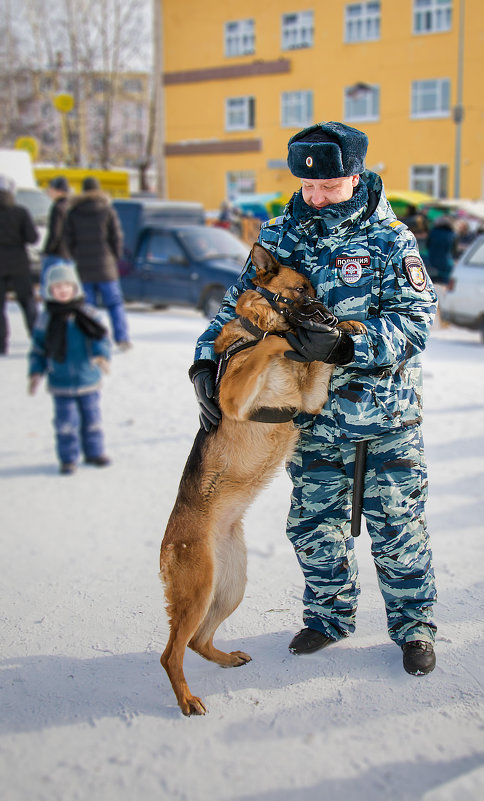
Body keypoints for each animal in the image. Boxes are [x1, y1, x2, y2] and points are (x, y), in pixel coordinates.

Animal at [159, 242, 366, 712]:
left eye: (317, 290)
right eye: (301, 289)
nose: (328, 317)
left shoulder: (310, 398)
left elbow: (315, 358)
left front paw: (347, 329)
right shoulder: (237, 396)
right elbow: (271, 341)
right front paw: (285, 336)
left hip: (229, 588)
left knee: (196, 642)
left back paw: (224, 658)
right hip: (198, 593)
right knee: (170, 653)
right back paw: (186, 700)